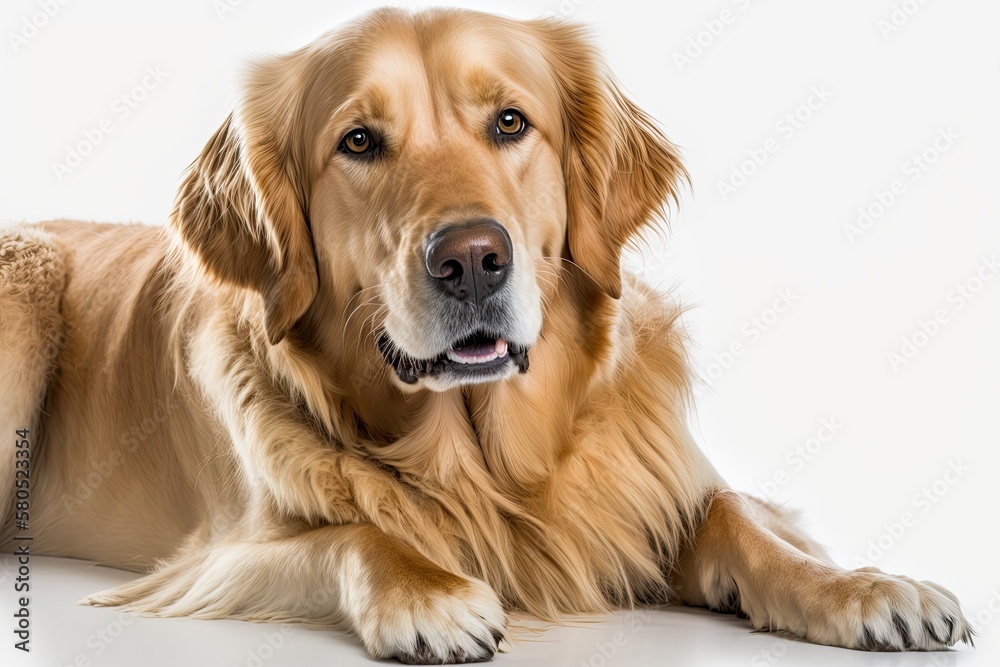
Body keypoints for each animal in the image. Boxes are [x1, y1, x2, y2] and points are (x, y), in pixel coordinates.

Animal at [0, 7, 968, 664]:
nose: (471, 260)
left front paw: (866, 587)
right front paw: (428, 595)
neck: (488, 459)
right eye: (360, 141)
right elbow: (353, 533)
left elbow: (739, 516)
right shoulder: (217, 557)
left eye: (510, 122)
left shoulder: (645, 489)